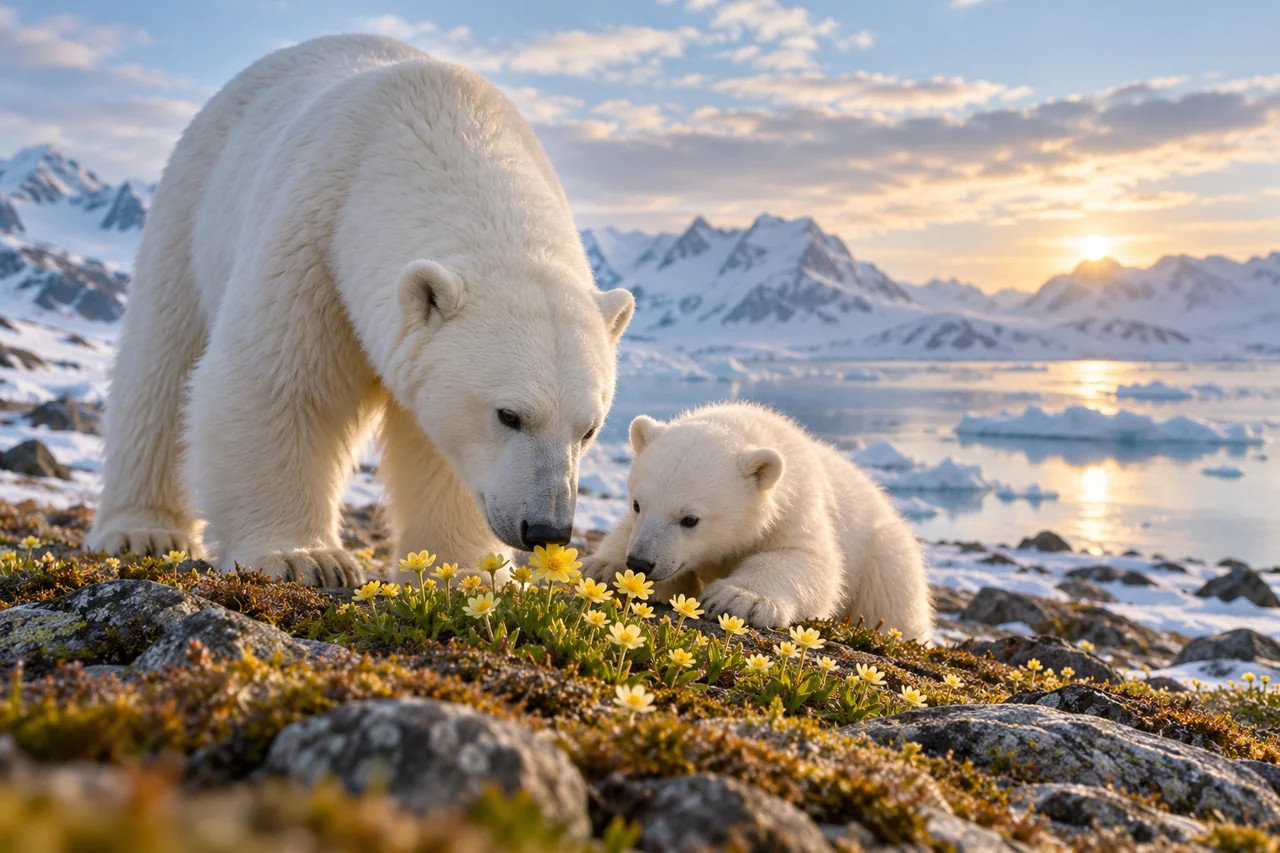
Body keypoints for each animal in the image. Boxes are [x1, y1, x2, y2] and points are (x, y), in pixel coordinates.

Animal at [85, 34, 635, 587]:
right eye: (509, 415)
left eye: (589, 429)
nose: (546, 529)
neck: (446, 127)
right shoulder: (314, 238)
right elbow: (275, 384)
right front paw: (305, 558)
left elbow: (437, 448)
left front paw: (462, 572)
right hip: (195, 201)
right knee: (160, 362)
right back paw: (143, 529)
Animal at [583, 403, 934, 639]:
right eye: (637, 504)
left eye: (690, 519)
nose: (640, 563)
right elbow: (622, 533)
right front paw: (602, 566)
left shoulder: (798, 508)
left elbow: (810, 562)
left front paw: (739, 598)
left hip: (885, 562)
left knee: (895, 607)